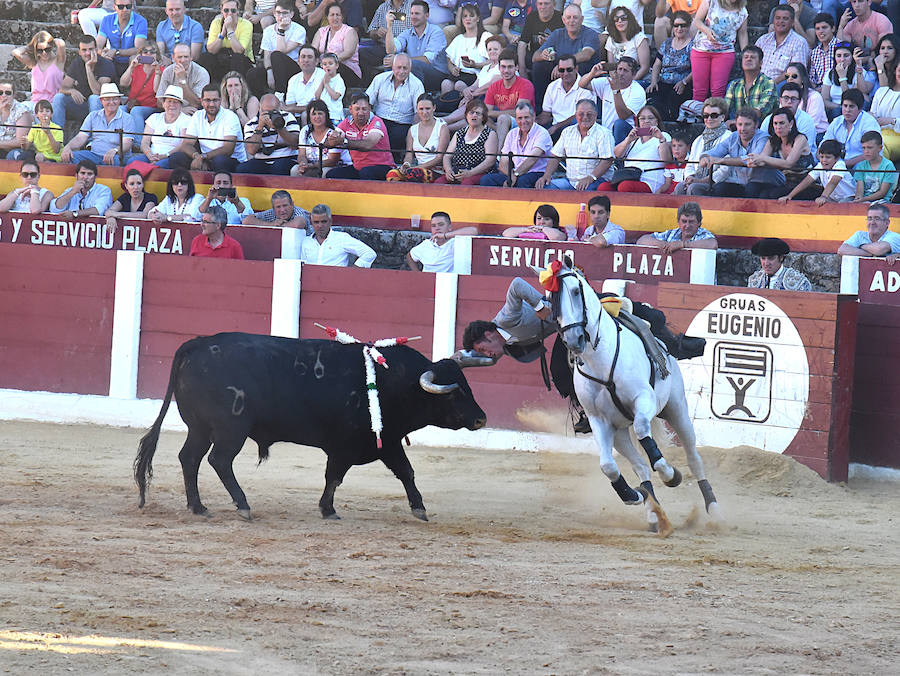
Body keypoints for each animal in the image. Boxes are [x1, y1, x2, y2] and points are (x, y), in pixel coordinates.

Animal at [133, 336, 486, 520]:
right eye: (453, 392)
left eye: (468, 385)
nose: (481, 418)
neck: (394, 382)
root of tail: (196, 344)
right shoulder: (345, 446)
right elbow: (335, 477)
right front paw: (328, 509)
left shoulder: (386, 441)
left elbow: (406, 471)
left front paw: (419, 508)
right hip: (230, 429)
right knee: (218, 460)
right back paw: (243, 505)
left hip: (200, 427)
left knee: (189, 458)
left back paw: (198, 506)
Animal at [548, 256, 716, 536]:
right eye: (550, 299)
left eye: (574, 291)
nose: (573, 340)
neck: (601, 361)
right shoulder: (599, 421)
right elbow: (608, 466)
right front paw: (632, 495)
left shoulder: (643, 401)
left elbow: (643, 433)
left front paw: (670, 474)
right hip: (618, 433)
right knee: (639, 465)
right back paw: (654, 514)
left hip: (677, 409)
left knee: (693, 457)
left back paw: (713, 508)